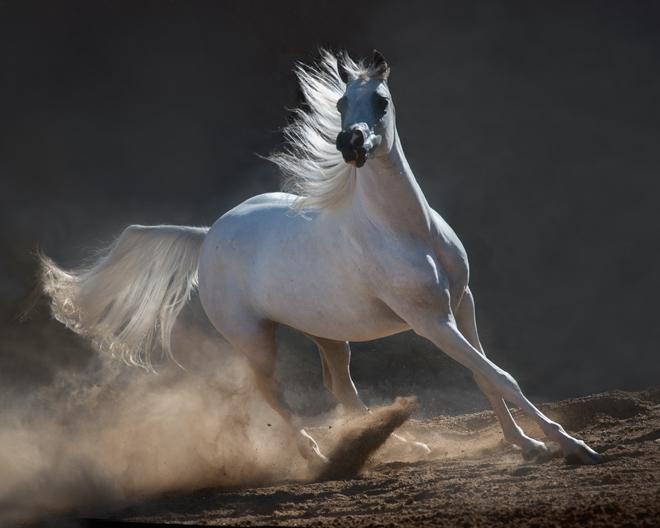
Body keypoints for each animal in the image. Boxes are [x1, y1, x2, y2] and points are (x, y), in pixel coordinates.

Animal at [38, 50, 600, 466]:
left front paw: (526, 444)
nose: (349, 143)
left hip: (327, 333)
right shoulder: (430, 321)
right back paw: (317, 456)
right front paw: (572, 446)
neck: (405, 230)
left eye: (380, 100)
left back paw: (401, 442)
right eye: (340, 102)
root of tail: (208, 235)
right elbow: (500, 375)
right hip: (255, 339)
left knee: (342, 391)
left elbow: (487, 375)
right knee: (274, 395)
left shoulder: (462, 304)